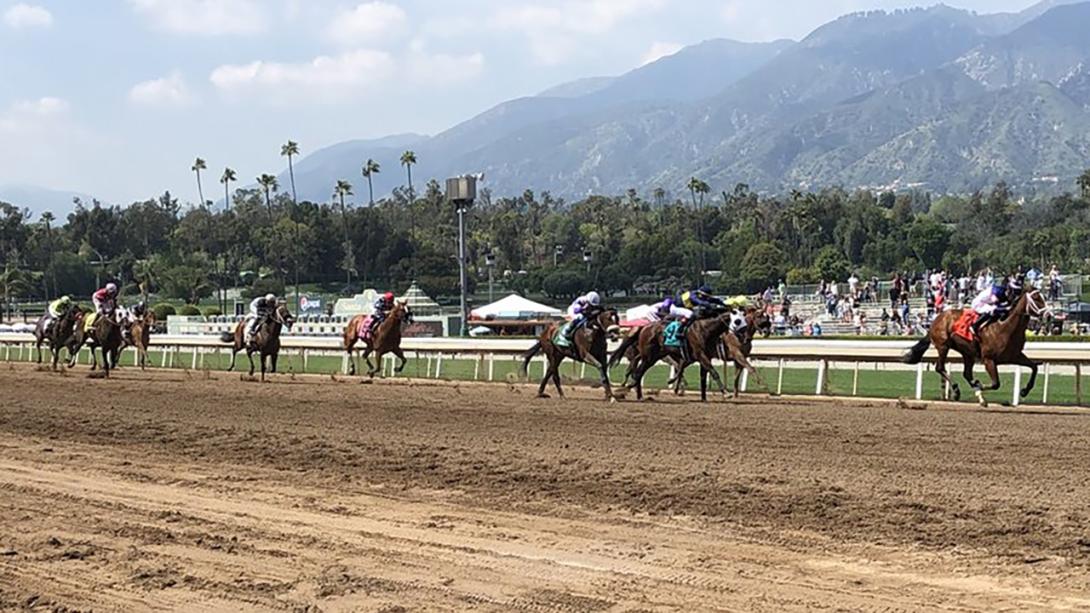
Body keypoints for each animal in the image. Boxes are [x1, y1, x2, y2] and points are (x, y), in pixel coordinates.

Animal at [898, 287, 1050, 405]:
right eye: (1036, 298)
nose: (1049, 315)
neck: (1006, 327)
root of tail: (936, 319)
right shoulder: (989, 359)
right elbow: (995, 384)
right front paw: (979, 388)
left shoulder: (1015, 356)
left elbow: (1034, 367)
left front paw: (1024, 391)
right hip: (943, 346)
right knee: (940, 367)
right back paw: (957, 391)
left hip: (967, 353)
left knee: (966, 373)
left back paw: (977, 395)